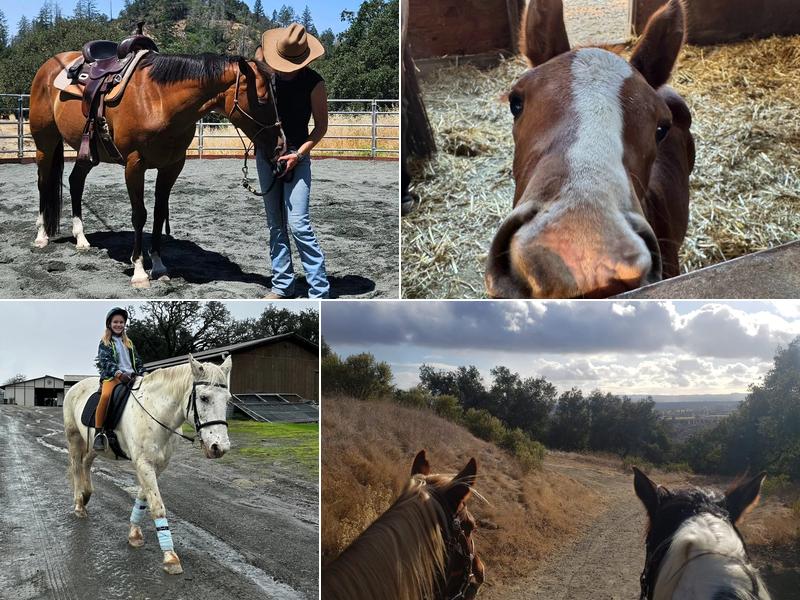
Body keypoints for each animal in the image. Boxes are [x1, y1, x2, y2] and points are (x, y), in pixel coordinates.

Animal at [29, 48, 280, 288]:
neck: (158, 100)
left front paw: (158, 266)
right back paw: (41, 236)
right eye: (263, 99)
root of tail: (49, 66)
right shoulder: (134, 165)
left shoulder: (172, 166)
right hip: (45, 144)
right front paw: (140, 272)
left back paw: (81, 238)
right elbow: (139, 215)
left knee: (75, 183)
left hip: (87, 153)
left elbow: (159, 213)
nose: (280, 145)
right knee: (43, 184)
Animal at [63, 355, 232, 575]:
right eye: (204, 398)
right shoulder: (143, 463)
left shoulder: (157, 465)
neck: (156, 411)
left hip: (93, 444)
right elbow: (157, 506)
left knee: (86, 463)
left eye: (227, 400)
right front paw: (170, 557)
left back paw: (86, 495)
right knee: (76, 467)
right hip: (74, 438)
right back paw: (79, 505)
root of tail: (75, 387)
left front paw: (134, 534)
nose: (219, 447)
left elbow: (144, 499)